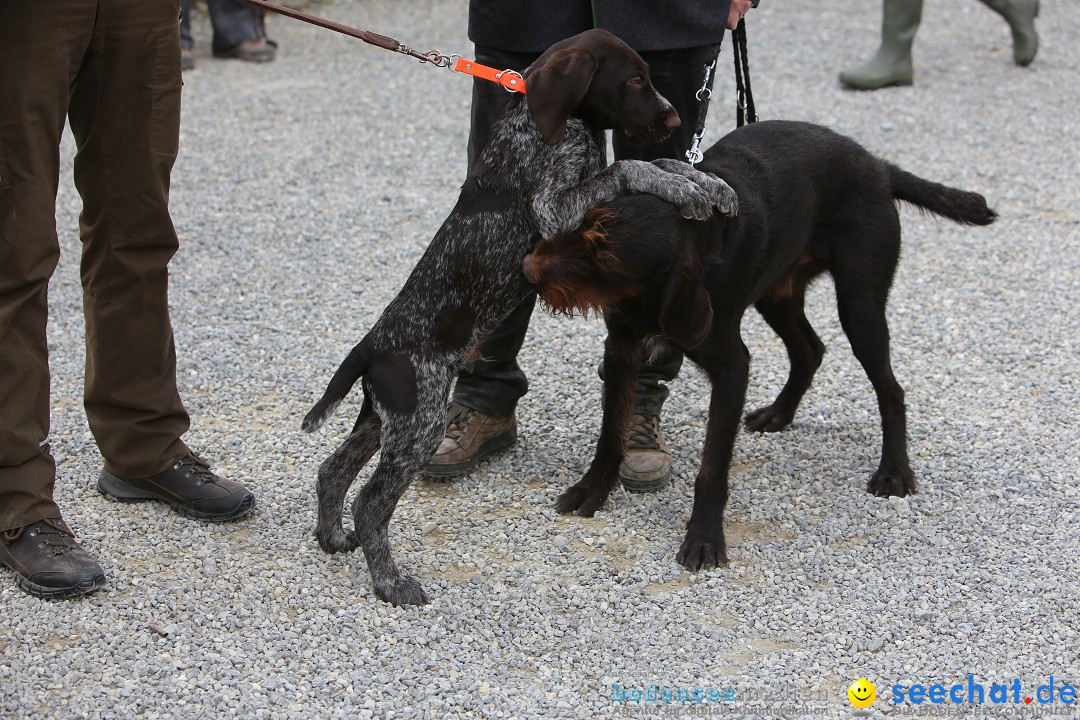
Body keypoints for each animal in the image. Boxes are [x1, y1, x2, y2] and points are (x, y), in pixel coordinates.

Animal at [306, 28, 743, 604]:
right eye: (633, 80)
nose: (673, 120)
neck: (548, 126)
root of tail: (371, 345)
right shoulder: (556, 212)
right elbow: (631, 167)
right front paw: (685, 186)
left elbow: (665, 165)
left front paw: (706, 185)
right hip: (419, 424)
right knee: (371, 502)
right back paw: (390, 582)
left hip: (386, 417)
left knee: (332, 468)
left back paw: (331, 536)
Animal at [522, 119, 993, 569]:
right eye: (583, 222)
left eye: (603, 257)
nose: (526, 268)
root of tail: (877, 165)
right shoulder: (622, 349)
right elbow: (610, 433)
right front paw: (591, 489)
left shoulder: (732, 368)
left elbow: (712, 466)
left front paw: (704, 537)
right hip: (777, 294)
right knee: (810, 350)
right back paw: (779, 412)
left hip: (860, 306)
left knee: (891, 390)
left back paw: (894, 470)